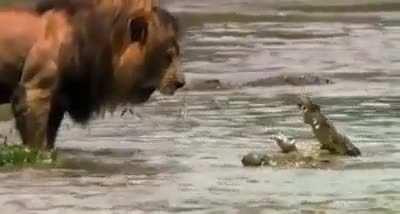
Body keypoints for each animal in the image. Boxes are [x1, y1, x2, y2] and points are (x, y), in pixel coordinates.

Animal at [0, 0, 184, 150]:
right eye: (168, 56)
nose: (181, 83)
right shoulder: (34, 91)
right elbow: (36, 144)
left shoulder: (59, 99)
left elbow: (50, 139)